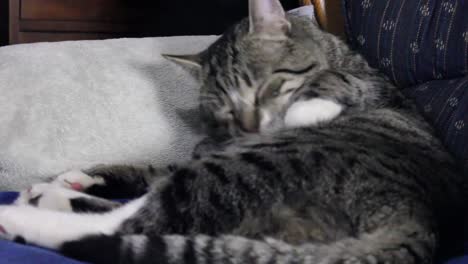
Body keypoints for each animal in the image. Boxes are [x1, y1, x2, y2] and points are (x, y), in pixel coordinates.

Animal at [0, 1, 468, 262]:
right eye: (224, 109)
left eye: (265, 89)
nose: (248, 128)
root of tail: (416, 216)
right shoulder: (205, 150)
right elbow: (150, 169)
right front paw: (80, 176)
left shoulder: (368, 82)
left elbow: (333, 80)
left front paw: (309, 104)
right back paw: (50, 193)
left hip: (251, 167)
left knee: (131, 226)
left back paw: (22, 214)